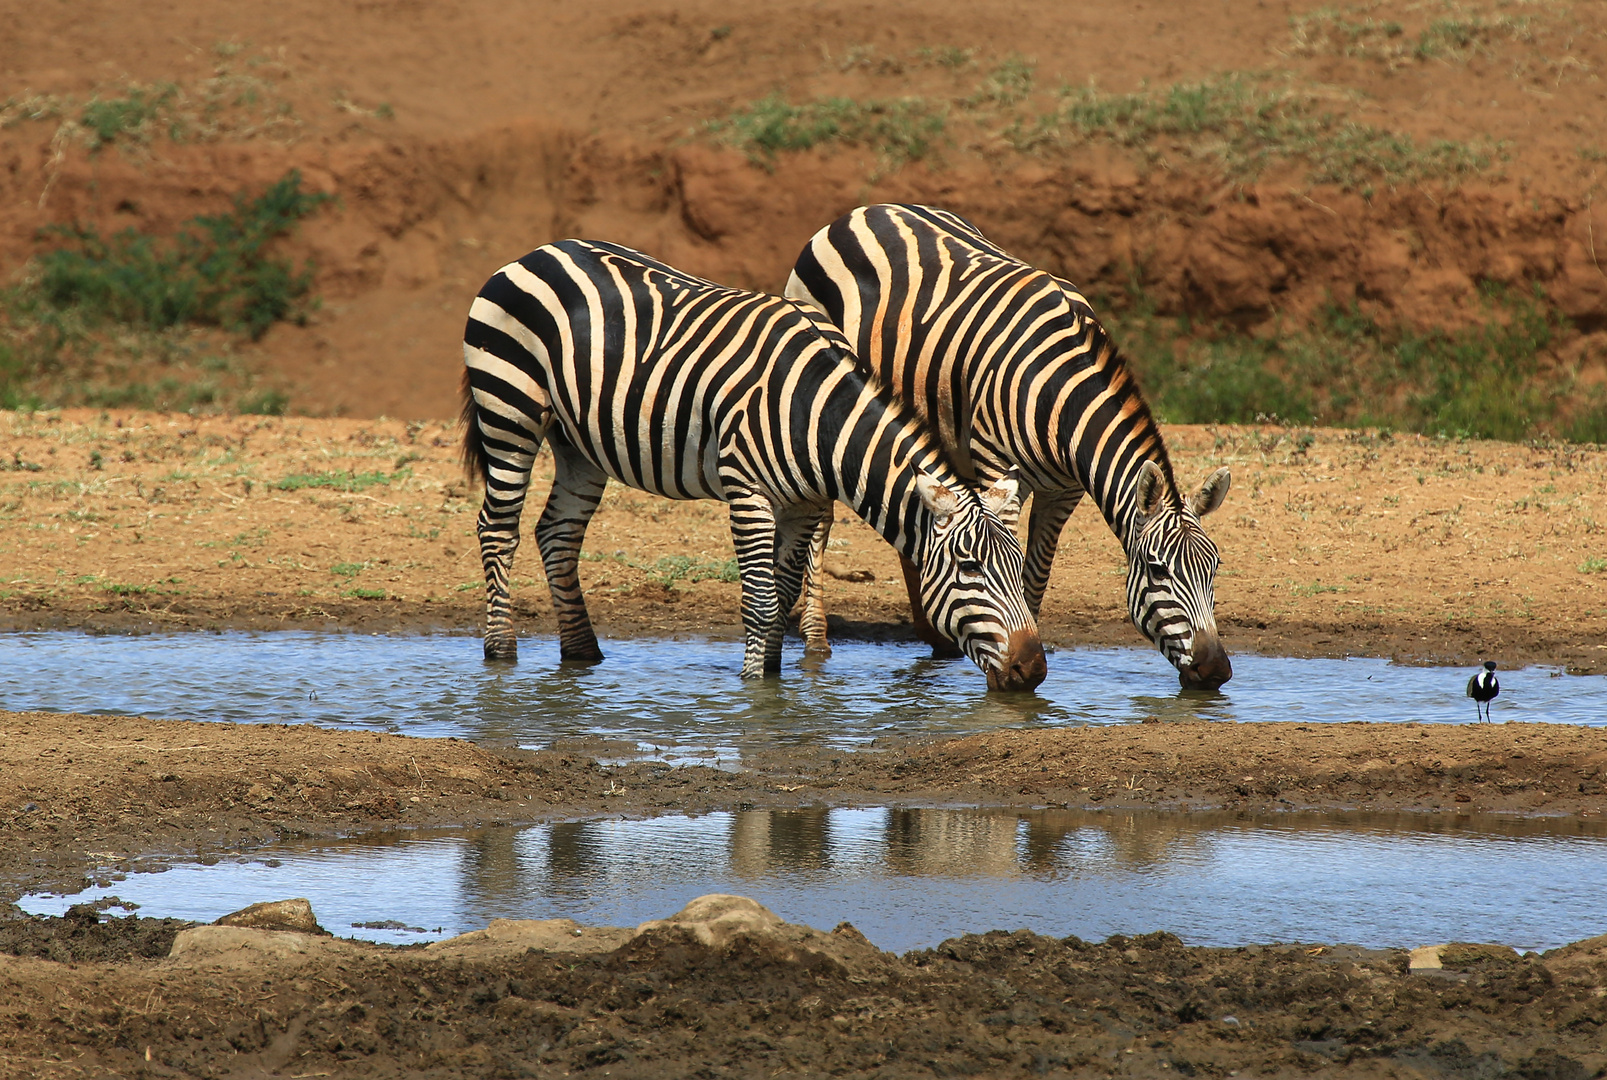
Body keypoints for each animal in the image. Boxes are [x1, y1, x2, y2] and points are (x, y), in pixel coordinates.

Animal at [459, 237, 1047, 691]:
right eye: (969, 568)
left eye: (1018, 569)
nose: (1034, 671)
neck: (818, 415)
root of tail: (539, 250)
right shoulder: (747, 493)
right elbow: (760, 605)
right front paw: (753, 695)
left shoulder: (804, 504)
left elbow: (781, 600)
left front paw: (773, 682)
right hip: (509, 406)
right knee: (499, 528)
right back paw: (501, 654)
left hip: (577, 442)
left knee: (557, 533)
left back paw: (583, 655)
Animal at [787, 204, 1227, 691]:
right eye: (1157, 570)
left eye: (1215, 569)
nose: (1217, 671)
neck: (1061, 396)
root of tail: (866, 209)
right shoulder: (997, 465)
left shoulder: (1064, 491)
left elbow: (1034, 574)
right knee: (821, 521)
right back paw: (815, 640)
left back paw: (933, 636)